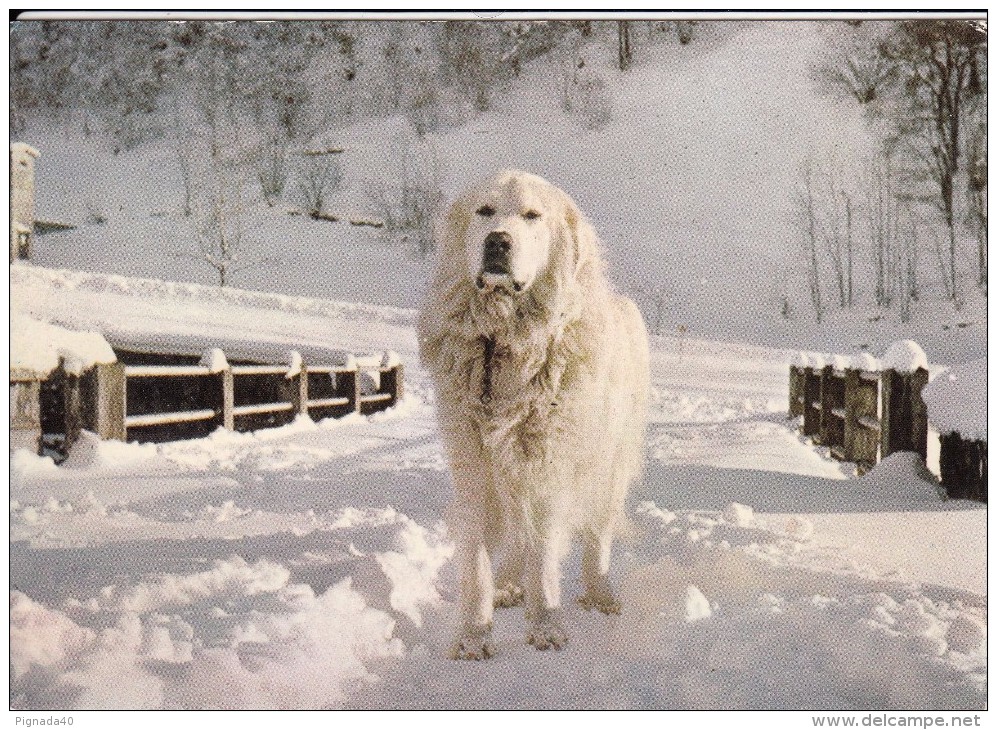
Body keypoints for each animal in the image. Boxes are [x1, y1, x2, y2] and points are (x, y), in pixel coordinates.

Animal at [416, 171, 648, 660]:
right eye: (485, 211)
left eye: (532, 215)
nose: (498, 241)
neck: (505, 338)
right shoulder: (476, 470)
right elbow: (477, 563)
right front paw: (474, 634)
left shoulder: (548, 468)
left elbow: (544, 556)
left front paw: (545, 626)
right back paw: (508, 585)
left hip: (607, 468)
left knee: (596, 536)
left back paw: (600, 594)